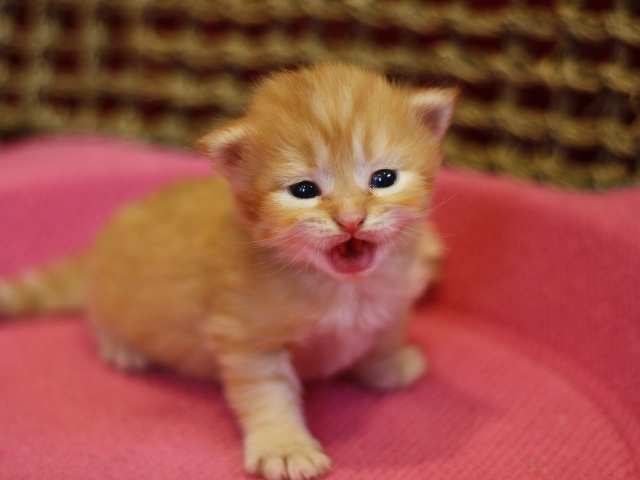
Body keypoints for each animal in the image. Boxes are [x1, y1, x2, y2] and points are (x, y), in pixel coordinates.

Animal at [2, 63, 458, 480]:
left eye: (384, 178)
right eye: (304, 190)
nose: (350, 220)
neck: (342, 287)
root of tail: (100, 243)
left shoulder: (395, 297)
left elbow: (387, 330)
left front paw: (390, 363)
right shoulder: (247, 336)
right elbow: (269, 395)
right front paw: (284, 448)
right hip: (110, 298)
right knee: (97, 317)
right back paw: (121, 347)